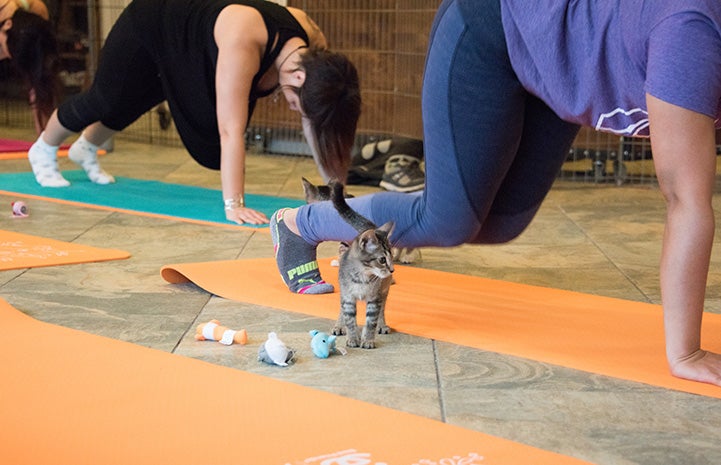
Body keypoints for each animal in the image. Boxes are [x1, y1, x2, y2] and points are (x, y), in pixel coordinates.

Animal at [328, 179, 394, 346]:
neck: (362, 277)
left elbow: (371, 321)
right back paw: (339, 326)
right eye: (382, 260)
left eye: (392, 258)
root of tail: (371, 227)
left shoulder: (375, 298)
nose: (392, 270)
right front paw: (352, 338)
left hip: (384, 290)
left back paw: (382, 325)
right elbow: (350, 319)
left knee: (382, 310)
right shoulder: (348, 298)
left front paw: (368, 340)